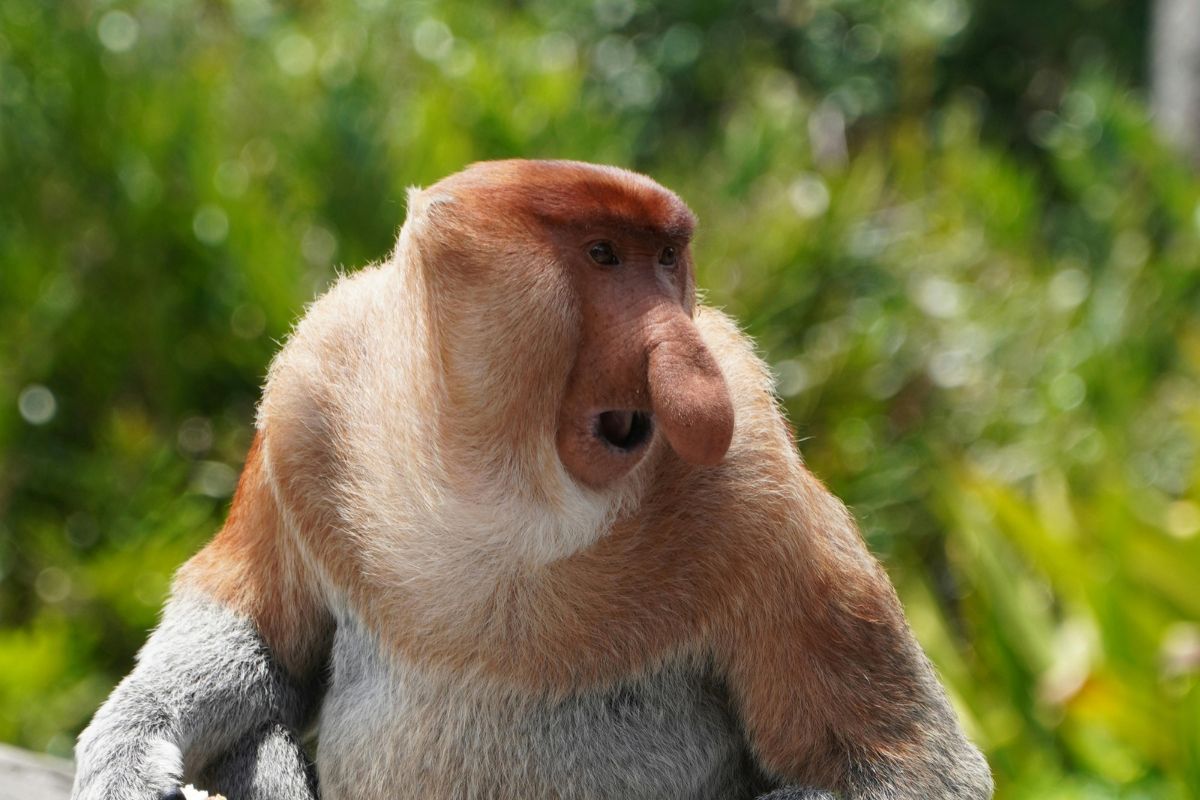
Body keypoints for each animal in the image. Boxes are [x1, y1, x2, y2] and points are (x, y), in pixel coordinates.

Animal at [71, 159, 993, 800]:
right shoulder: (307, 402)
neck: (504, 485)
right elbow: (249, 627)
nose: (689, 366)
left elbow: (906, 766)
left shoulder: (761, 493)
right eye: (604, 255)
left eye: (668, 260)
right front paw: (123, 757)